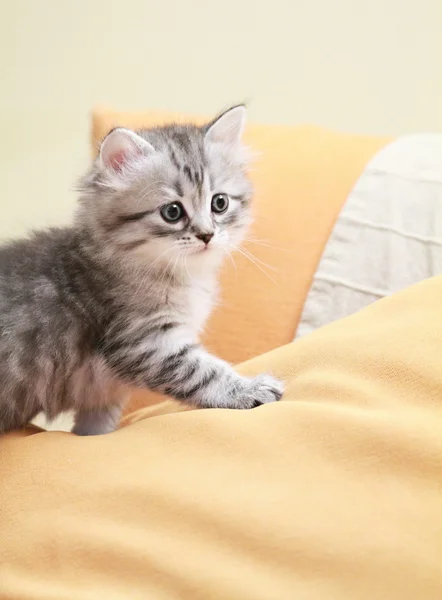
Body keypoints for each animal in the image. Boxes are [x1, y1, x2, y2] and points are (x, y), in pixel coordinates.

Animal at [0, 106, 284, 436]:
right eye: (172, 212)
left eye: (220, 203)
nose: (206, 235)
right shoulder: (145, 342)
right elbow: (204, 372)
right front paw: (250, 389)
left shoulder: (104, 395)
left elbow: (94, 429)